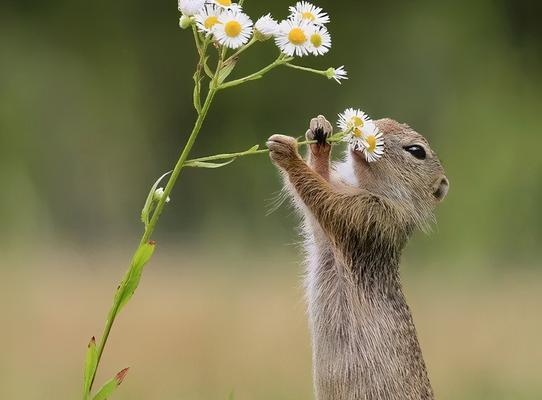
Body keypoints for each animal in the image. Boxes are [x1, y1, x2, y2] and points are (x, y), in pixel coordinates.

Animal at [268, 115, 450, 400]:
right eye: (386, 119)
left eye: (417, 151)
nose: (371, 125)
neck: (372, 187)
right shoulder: (329, 229)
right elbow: (319, 192)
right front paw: (319, 135)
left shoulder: (369, 216)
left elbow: (323, 197)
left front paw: (287, 152)